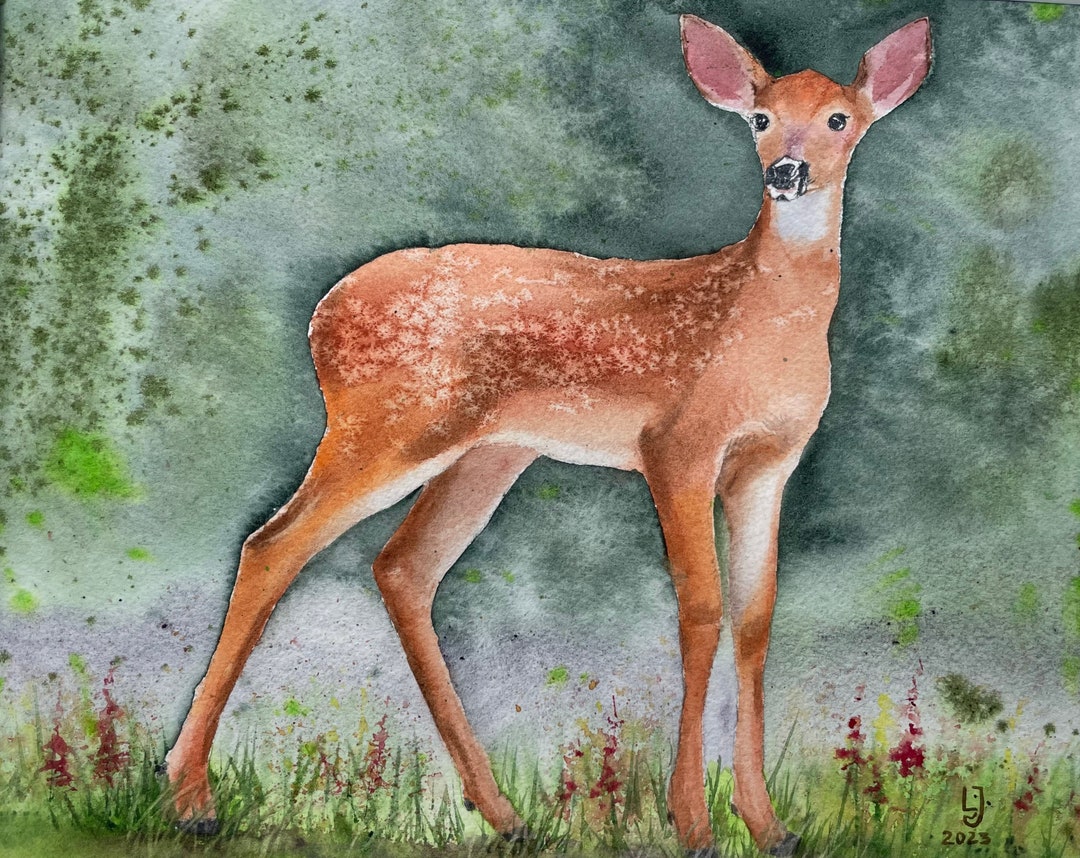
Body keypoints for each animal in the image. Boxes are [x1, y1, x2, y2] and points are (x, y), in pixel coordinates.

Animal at [165, 14, 931, 856]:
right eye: (760, 119)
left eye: (839, 119)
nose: (787, 171)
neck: (760, 326)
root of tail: (319, 316)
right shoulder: (677, 446)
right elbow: (700, 610)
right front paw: (692, 821)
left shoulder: (769, 464)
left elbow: (755, 620)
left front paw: (769, 826)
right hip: (389, 425)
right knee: (273, 544)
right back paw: (191, 799)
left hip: (490, 451)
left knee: (402, 566)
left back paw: (502, 813)